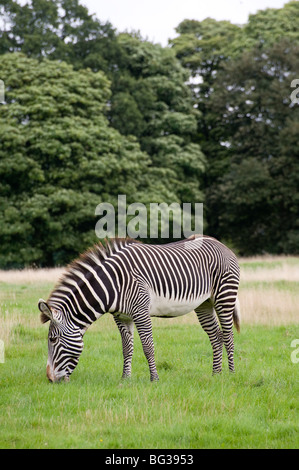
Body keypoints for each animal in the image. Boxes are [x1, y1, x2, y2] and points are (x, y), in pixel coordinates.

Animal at [39, 237, 241, 384]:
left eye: (53, 339)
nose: (49, 379)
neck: (113, 285)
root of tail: (221, 244)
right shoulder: (121, 317)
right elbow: (126, 348)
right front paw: (125, 378)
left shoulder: (141, 312)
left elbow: (148, 347)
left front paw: (154, 379)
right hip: (204, 304)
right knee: (216, 336)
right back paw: (216, 373)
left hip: (224, 296)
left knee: (228, 335)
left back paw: (231, 373)